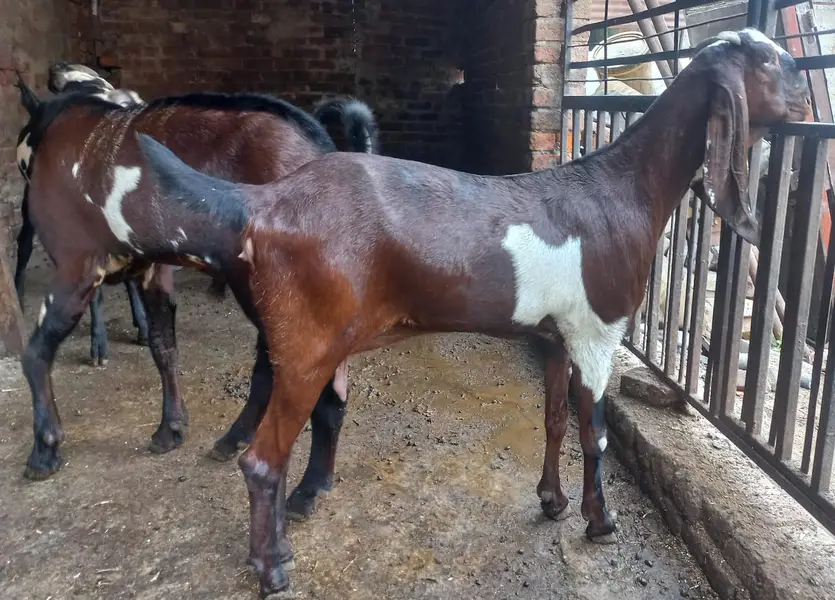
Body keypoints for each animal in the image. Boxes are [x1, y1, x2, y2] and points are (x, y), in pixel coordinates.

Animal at [134, 28, 810, 596]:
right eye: (767, 60)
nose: (807, 97)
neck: (622, 192)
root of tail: (266, 205)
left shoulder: (559, 335)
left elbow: (555, 422)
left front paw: (551, 501)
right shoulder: (599, 332)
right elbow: (594, 435)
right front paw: (599, 521)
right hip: (306, 345)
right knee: (261, 460)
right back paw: (272, 566)